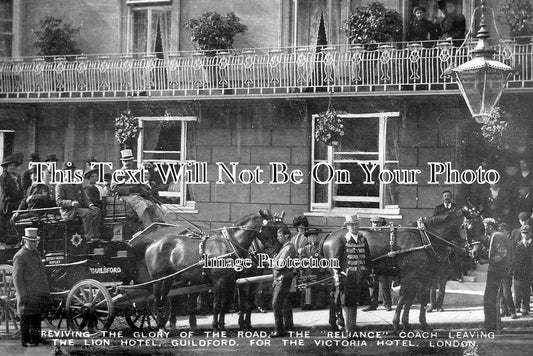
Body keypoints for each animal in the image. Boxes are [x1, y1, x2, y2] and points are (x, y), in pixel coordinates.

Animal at [144, 209, 286, 330]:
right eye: (272, 227)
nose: (279, 246)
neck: (230, 245)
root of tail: (153, 243)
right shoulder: (220, 281)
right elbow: (217, 304)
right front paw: (216, 327)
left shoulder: (232, 281)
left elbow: (226, 304)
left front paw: (223, 326)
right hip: (158, 279)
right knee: (158, 301)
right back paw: (162, 327)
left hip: (169, 279)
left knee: (165, 299)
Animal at [318, 207, 484, 332]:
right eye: (469, 227)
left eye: (482, 227)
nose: (477, 252)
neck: (424, 238)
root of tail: (330, 235)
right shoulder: (410, 276)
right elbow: (405, 298)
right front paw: (398, 324)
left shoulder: (424, 276)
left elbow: (418, 299)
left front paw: (418, 324)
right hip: (338, 271)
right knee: (337, 293)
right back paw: (340, 322)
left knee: (333, 294)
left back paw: (334, 323)